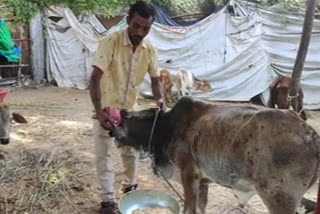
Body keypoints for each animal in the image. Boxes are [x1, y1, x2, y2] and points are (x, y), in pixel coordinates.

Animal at [109, 97, 320, 214]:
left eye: (121, 121)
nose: (111, 132)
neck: (167, 127)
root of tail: (309, 133)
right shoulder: (203, 181)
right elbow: (201, 207)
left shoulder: (189, 173)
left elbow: (189, 209)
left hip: (279, 198)